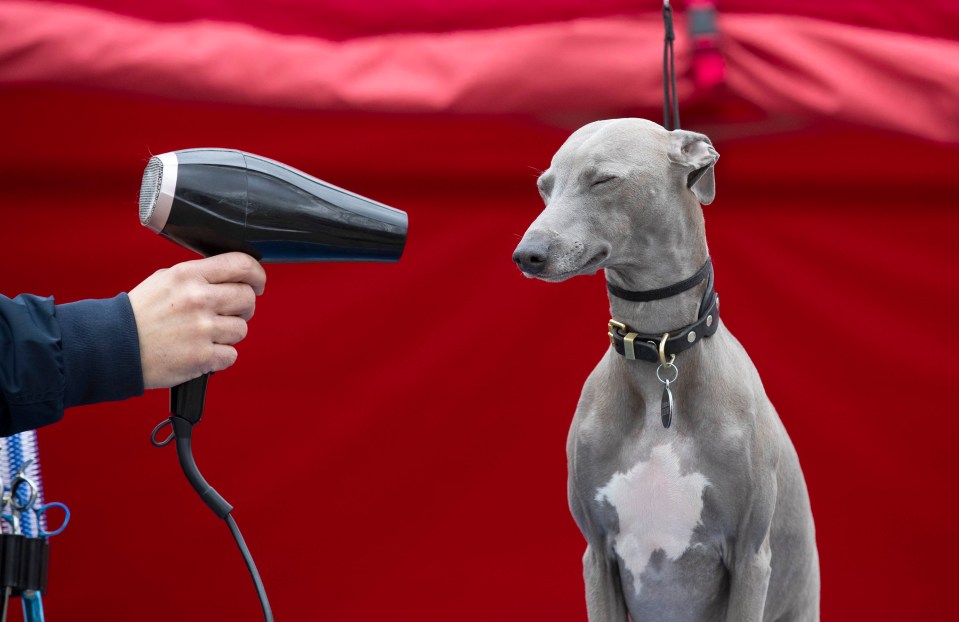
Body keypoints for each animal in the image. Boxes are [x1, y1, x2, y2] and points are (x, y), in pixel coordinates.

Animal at [512, 118, 820, 622]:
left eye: (603, 180)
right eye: (544, 187)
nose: (527, 255)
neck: (657, 353)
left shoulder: (750, 558)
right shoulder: (598, 556)